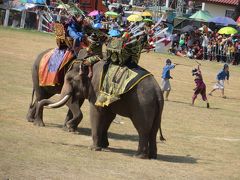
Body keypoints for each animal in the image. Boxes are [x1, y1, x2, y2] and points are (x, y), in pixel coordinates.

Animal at [35, 60, 165, 159]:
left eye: (70, 80)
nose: (69, 125)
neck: (90, 65)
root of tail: (157, 91)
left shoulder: (97, 88)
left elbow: (96, 113)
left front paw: (93, 148)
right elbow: (108, 116)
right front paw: (104, 146)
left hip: (143, 105)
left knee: (142, 129)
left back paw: (139, 156)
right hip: (156, 107)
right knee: (153, 130)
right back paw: (152, 156)